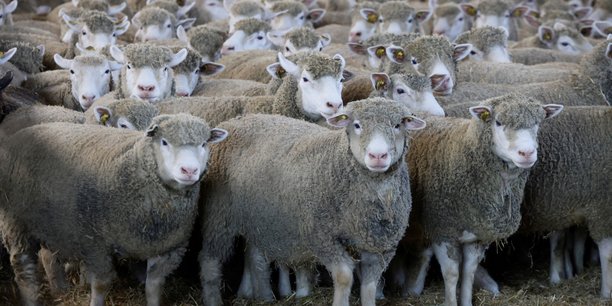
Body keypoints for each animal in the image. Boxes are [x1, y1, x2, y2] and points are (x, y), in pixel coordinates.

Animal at [0, 113, 228, 306]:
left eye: (204, 143)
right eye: (164, 142)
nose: (189, 170)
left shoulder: (168, 249)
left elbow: (153, 286)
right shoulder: (95, 244)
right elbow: (101, 285)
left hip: (51, 223)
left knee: (48, 255)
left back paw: (60, 290)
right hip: (15, 222)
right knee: (24, 269)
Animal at [200, 98, 426, 306]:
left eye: (397, 125)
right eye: (357, 125)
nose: (377, 155)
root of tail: (236, 120)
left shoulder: (379, 247)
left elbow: (369, 286)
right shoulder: (321, 236)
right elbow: (344, 276)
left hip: (259, 217)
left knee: (255, 255)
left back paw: (264, 296)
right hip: (218, 213)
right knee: (210, 260)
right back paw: (214, 298)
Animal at [408, 94, 560, 304]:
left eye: (537, 122)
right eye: (498, 122)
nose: (527, 153)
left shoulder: (478, 235)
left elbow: (468, 272)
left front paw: (466, 301)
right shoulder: (442, 230)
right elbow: (451, 274)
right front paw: (451, 301)